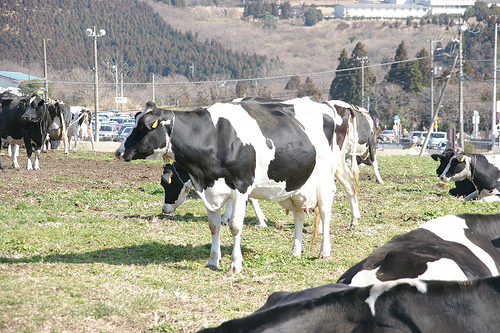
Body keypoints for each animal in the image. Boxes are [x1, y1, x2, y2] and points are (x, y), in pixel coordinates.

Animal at [117, 96, 356, 272]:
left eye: (144, 127)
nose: (119, 151)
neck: (215, 137)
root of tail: (326, 105)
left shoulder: (242, 186)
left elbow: (235, 226)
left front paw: (235, 264)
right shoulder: (209, 189)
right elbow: (213, 227)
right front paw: (213, 261)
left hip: (324, 177)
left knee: (325, 212)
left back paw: (324, 251)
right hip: (295, 182)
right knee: (298, 213)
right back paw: (295, 250)